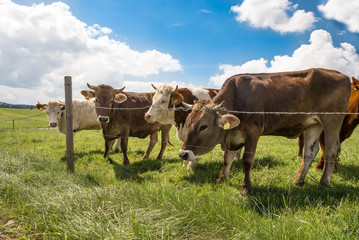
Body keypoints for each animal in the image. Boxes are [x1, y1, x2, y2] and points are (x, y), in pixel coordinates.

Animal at [179, 68, 350, 195]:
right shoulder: (233, 136)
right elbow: (227, 159)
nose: (183, 154)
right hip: (314, 124)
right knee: (310, 152)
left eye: (203, 126)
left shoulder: (253, 133)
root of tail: (342, 75)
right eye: (187, 123)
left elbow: (247, 161)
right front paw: (221, 179)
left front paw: (246, 189)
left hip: (332, 120)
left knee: (331, 150)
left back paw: (324, 181)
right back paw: (298, 180)